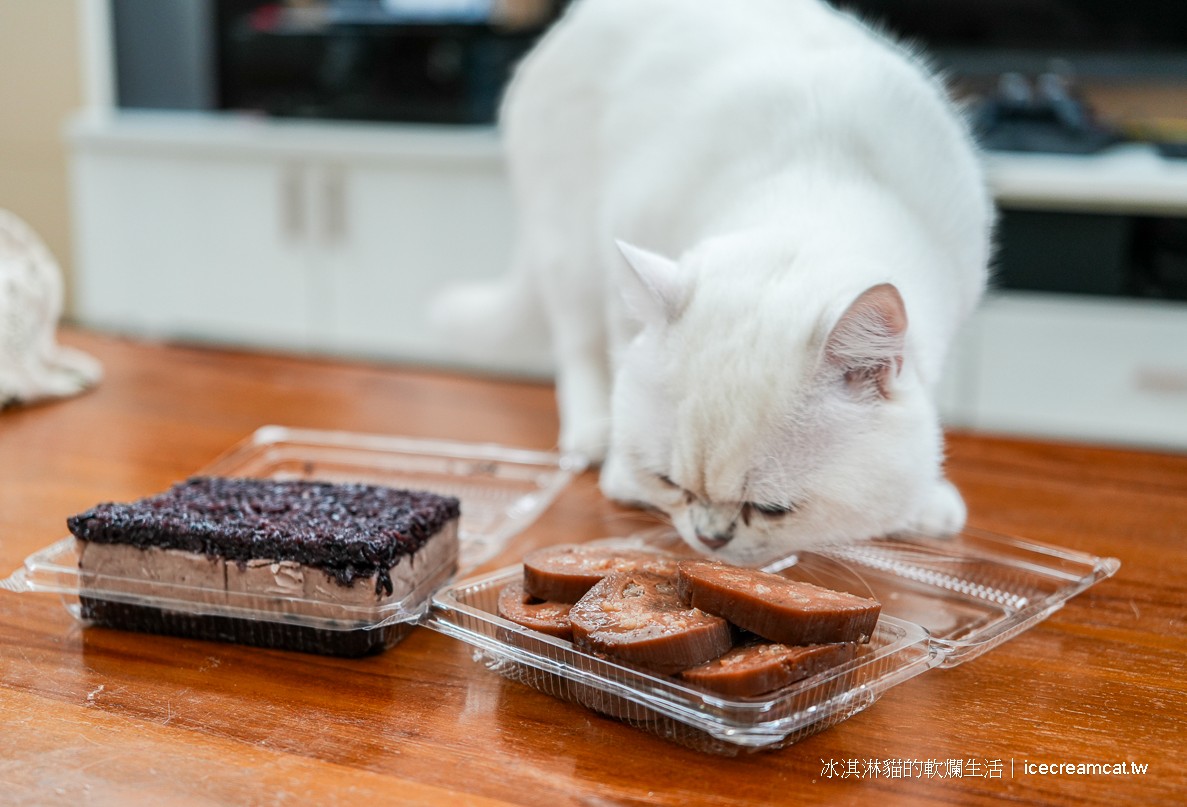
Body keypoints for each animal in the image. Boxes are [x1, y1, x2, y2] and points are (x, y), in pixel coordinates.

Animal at [434, 0, 992, 567]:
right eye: (670, 484)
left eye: (771, 510)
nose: (709, 538)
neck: (821, 180)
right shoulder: (628, 221)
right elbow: (617, 357)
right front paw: (621, 472)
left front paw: (926, 503)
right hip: (568, 245)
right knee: (577, 342)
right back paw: (591, 433)